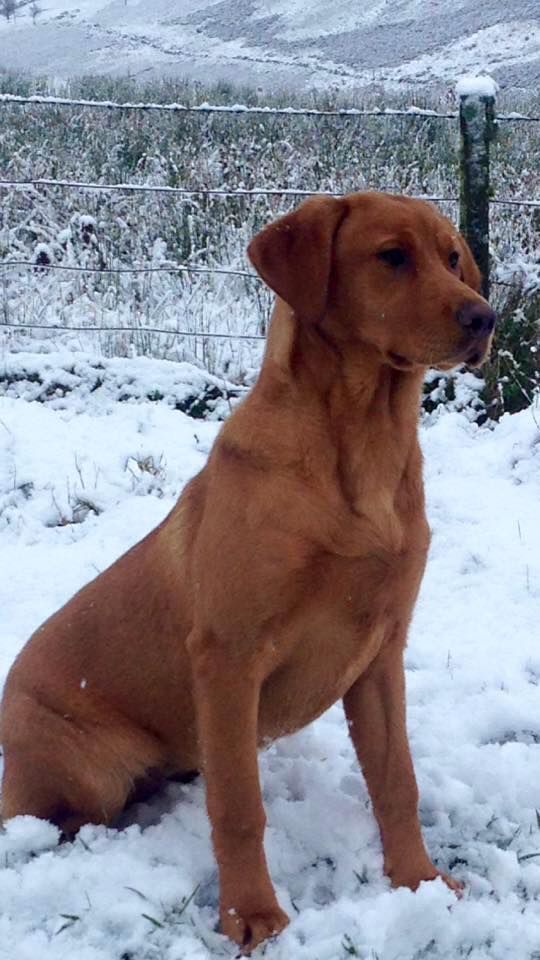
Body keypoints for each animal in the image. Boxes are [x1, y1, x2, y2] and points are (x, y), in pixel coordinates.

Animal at [0, 191, 494, 948]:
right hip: (85, 769)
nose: (485, 318)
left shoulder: (382, 652)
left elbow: (396, 780)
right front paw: (252, 916)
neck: (361, 452)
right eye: (391, 256)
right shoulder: (229, 657)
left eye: (451, 258)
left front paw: (419, 882)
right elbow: (238, 808)